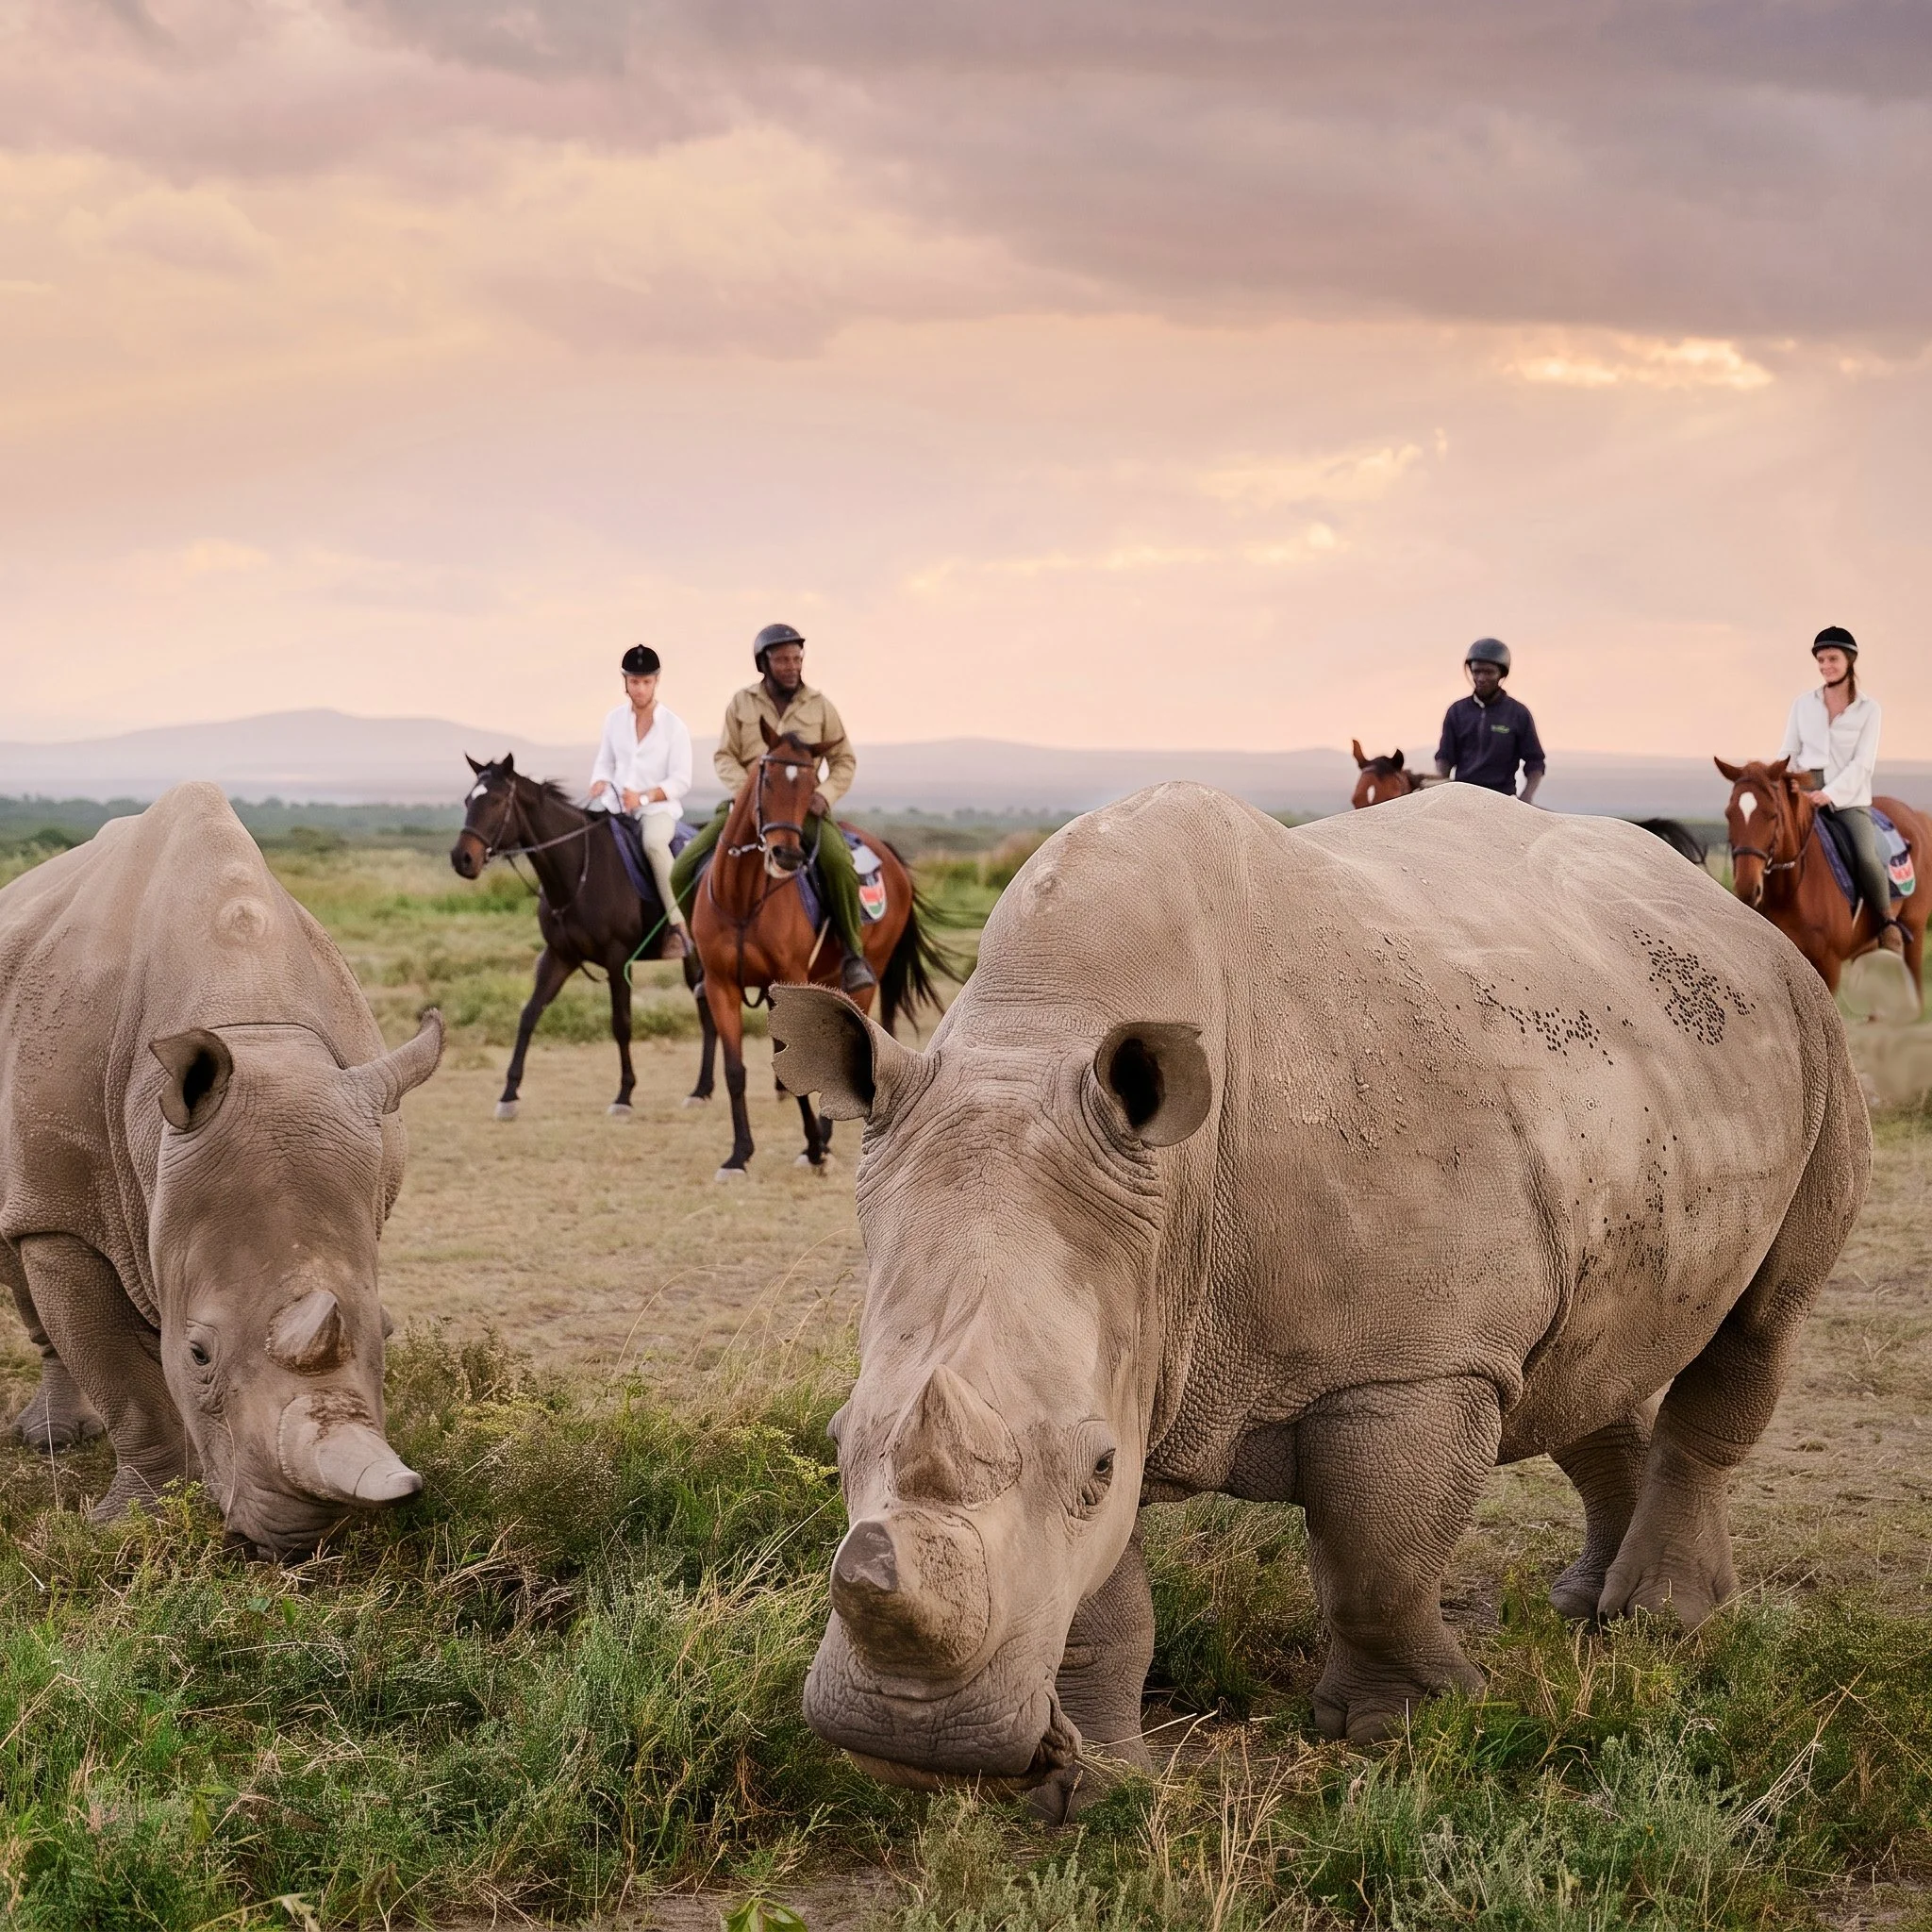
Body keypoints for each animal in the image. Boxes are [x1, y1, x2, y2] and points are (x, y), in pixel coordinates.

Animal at [1, 783, 441, 1555]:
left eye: (387, 1333)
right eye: (199, 1354)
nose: (297, 1538)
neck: (250, 1019)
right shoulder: (61, 1215)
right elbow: (125, 1384)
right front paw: (134, 1524)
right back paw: (53, 1443)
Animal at [771, 782, 1867, 1809]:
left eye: (1096, 1467)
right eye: (836, 1440)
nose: (911, 1736)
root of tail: (1721, 905)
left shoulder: (1412, 1359)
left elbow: (1375, 1562)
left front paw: (1406, 1727)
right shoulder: (1123, 1330)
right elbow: (1099, 1604)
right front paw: (1094, 1785)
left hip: (1808, 1025)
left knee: (1760, 1321)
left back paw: (1658, 1621)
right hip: (1629, 1067)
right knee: (1588, 1357)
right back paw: (1585, 1608)